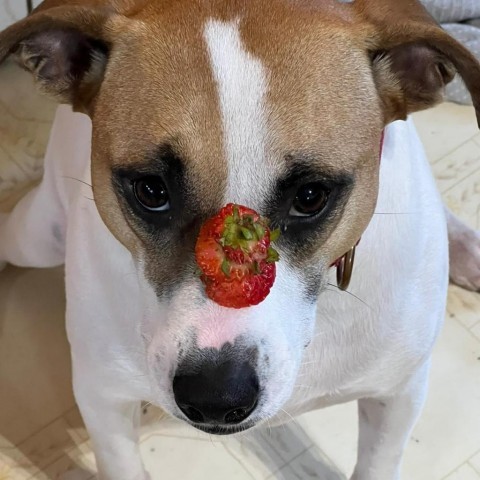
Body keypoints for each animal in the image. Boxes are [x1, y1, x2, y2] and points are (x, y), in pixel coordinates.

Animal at [0, 0, 480, 480]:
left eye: (311, 196)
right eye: (151, 190)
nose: (216, 396)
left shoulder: (398, 393)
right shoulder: (101, 396)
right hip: (41, 233)